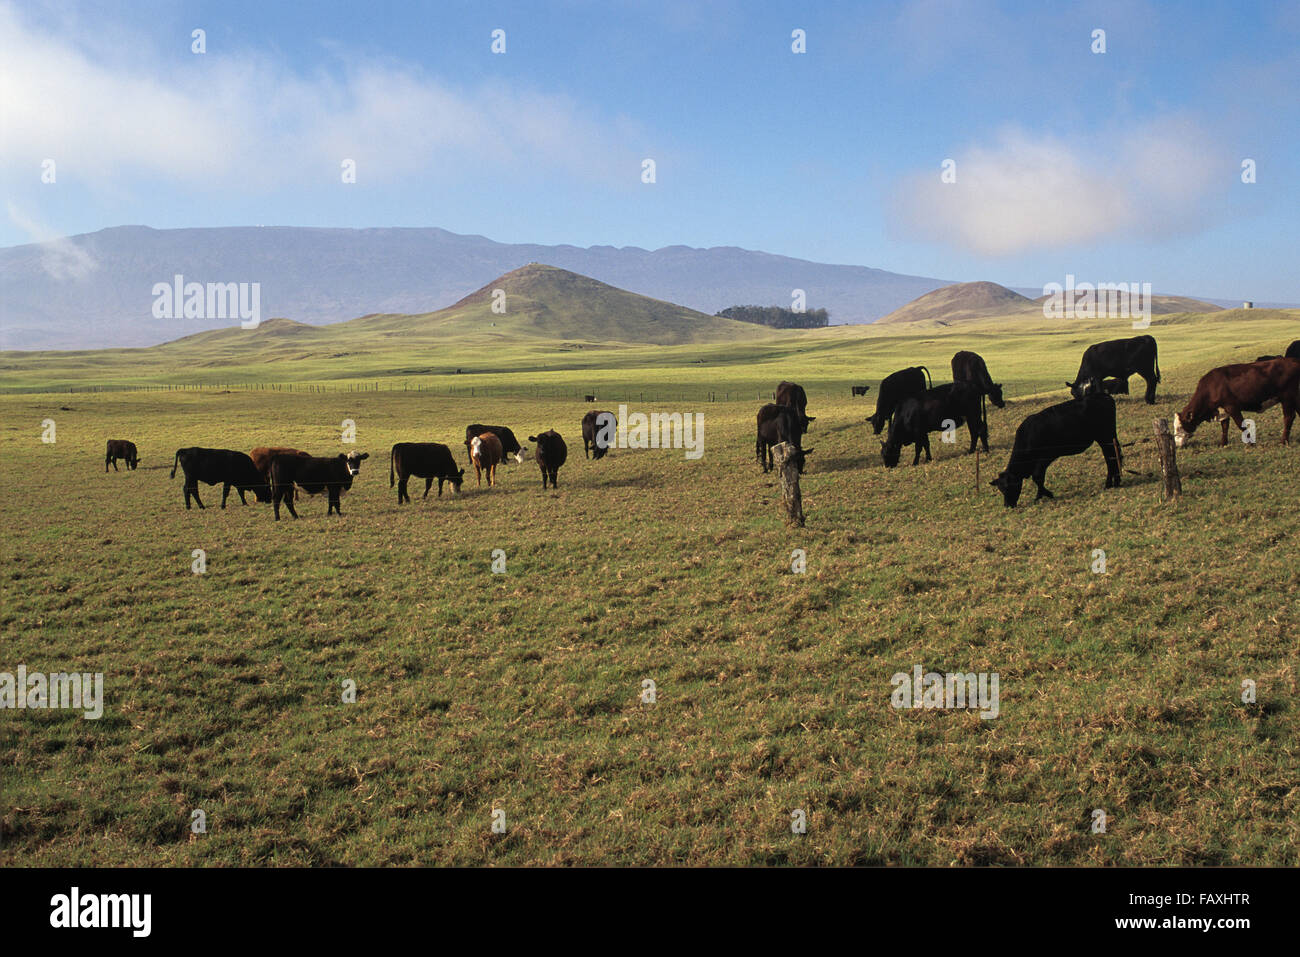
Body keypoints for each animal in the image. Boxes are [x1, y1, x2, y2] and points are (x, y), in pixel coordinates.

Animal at [987, 392, 1123, 509]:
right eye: (1000, 489)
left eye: (1009, 487)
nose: (1008, 505)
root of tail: (1103, 395)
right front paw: (1041, 495)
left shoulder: (1046, 456)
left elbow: (1037, 477)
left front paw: (1045, 494)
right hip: (1106, 437)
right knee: (1111, 456)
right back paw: (1114, 482)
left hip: (1105, 436)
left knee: (1111, 457)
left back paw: (1111, 483)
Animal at [1170, 358, 1300, 447]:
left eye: (1180, 427)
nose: (1177, 444)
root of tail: (1293, 361)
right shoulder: (1223, 410)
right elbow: (1224, 427)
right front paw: (1223, 443)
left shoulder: (1232, 407)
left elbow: (1240, 425)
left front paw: (1251, 442)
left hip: (1287, 398)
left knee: (1289, 417)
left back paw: (1283, 441)